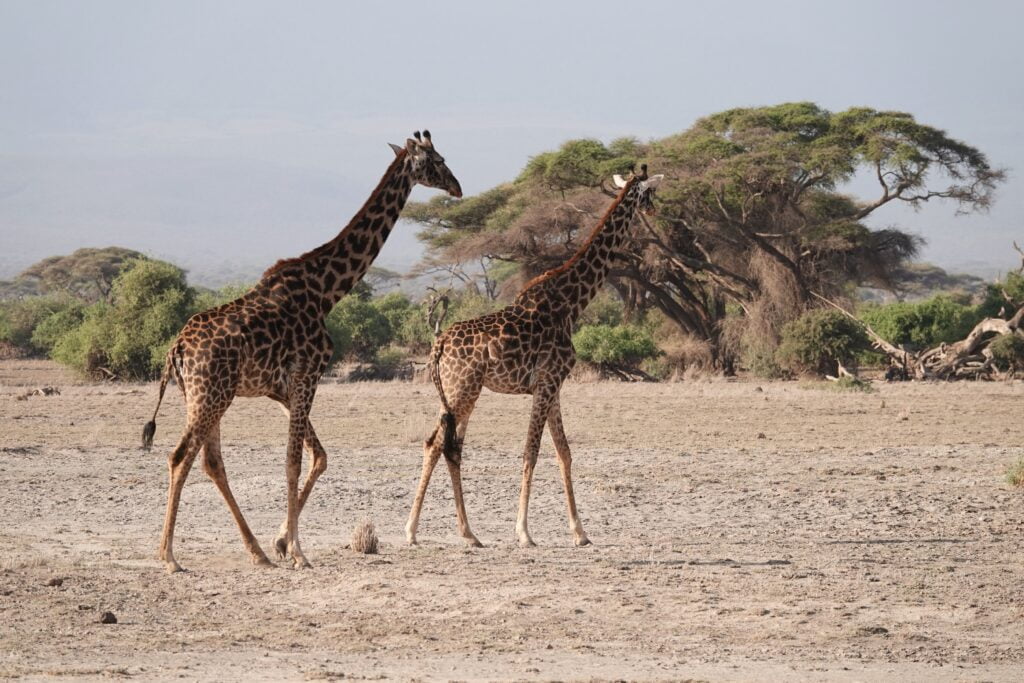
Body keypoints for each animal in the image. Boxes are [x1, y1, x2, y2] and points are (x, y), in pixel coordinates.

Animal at [142, 129, 462, 573]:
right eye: (438, 161)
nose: (458, 188)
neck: (327, 291)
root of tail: (177, 348)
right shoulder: (308, 374)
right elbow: (293, 461)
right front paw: (297, 552)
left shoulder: (283, 387)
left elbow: (318, 456)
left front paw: (280, 543)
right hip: (211, 395)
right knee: (180, 457)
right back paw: (169, 555)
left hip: (206, 395)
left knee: (211, 461)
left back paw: (256, 552)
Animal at [407, 162, 663, 548]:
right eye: (650, 193)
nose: (655, 210)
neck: (572, 303)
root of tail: (437, 346)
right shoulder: (547, 382)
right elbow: (532, 452)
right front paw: (524, 532)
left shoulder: (553, 386)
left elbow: (564, 452)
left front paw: (580, 532)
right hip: (463, 391)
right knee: (439, 444)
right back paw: (414, 530)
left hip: (455, 393)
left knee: (445, 445)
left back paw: (468, 533)